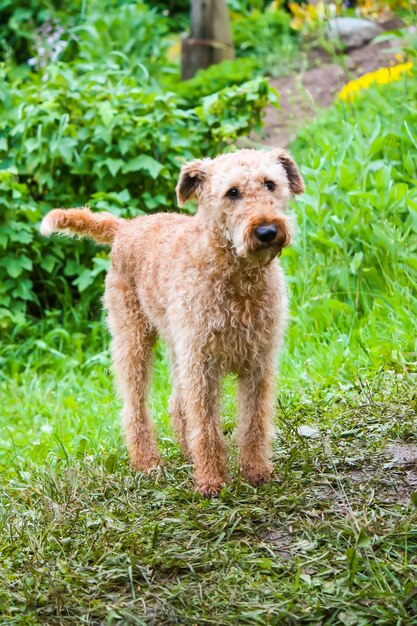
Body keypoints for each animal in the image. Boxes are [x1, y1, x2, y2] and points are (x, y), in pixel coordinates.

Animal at [41, 149, 302, 494]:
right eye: (232, 192)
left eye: (270, 183)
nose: (267, 231)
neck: (236, 277)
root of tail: (125, 227)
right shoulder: (202, 365)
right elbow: (206, 425)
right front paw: (211, 481)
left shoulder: (258, 361)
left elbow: (254, 422)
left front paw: (256, 472)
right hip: (134, 340)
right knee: (135, 408)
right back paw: (147, 462)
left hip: (177, 347)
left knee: (176, 404)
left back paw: (186, 452)